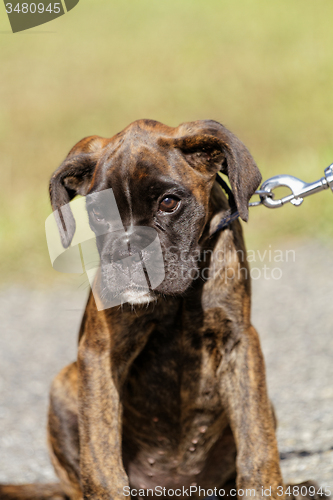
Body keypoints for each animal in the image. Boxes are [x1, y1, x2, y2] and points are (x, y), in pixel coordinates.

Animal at [0, 119, 322, 498]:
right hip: (64, 384)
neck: (179, 298)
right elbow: (101, 457)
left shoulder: (238, 342)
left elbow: (256, 441)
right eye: (97, 213)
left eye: (169, 203)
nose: (127, 252)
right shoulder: (100, 353)